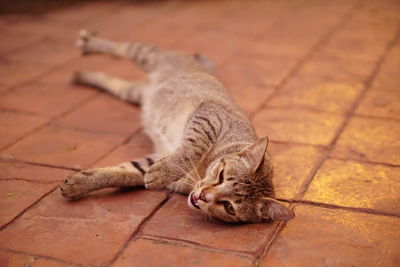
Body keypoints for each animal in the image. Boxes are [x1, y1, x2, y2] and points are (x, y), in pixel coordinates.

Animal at [58, 29, 294, 224]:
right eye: (221, 175)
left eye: (229, 207)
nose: (203, 196)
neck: (197, 174)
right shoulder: (208, 117)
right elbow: (191, 149)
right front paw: (163, 172)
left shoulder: (155, 158)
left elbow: (121, 173)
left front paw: (78, 184)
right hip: (151, 56)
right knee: (123, 48)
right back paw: (89, 44)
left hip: (133, 92)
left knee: (115, 82)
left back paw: (80, 75)